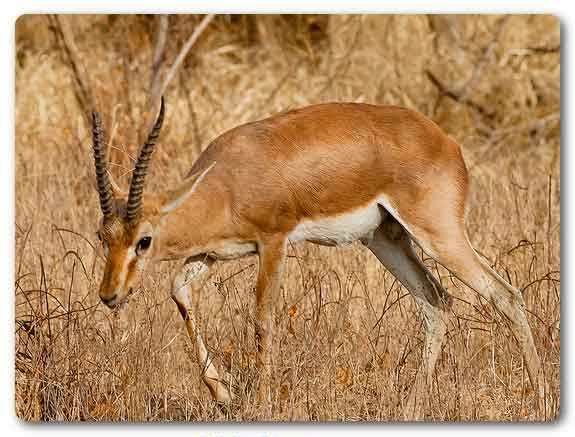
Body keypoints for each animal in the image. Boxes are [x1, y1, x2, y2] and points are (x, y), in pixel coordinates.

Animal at [90, 97, 544, 418]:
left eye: (144, 240)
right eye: (102, 235)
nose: (109, 295)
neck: (226, 184)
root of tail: (446, 142)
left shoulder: (273, 240)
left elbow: (262, 316)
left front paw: (262, 404)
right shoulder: (213, 252)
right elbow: (179, 291)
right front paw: (224, 396)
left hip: (438, 235)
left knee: (504, 293)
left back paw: (539, 399)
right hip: (386, 239)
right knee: (435, 301)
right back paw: (411, 408)